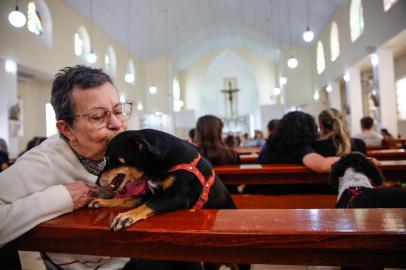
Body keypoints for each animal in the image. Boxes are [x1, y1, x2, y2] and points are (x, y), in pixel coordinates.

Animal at [89, 130, 235, 231]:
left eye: (108, 158)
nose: (97, 182)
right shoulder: (149, 194)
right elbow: (126, 199)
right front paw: (101, 201)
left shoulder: (177, 197)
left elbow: (149, 205)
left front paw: (126, 216)